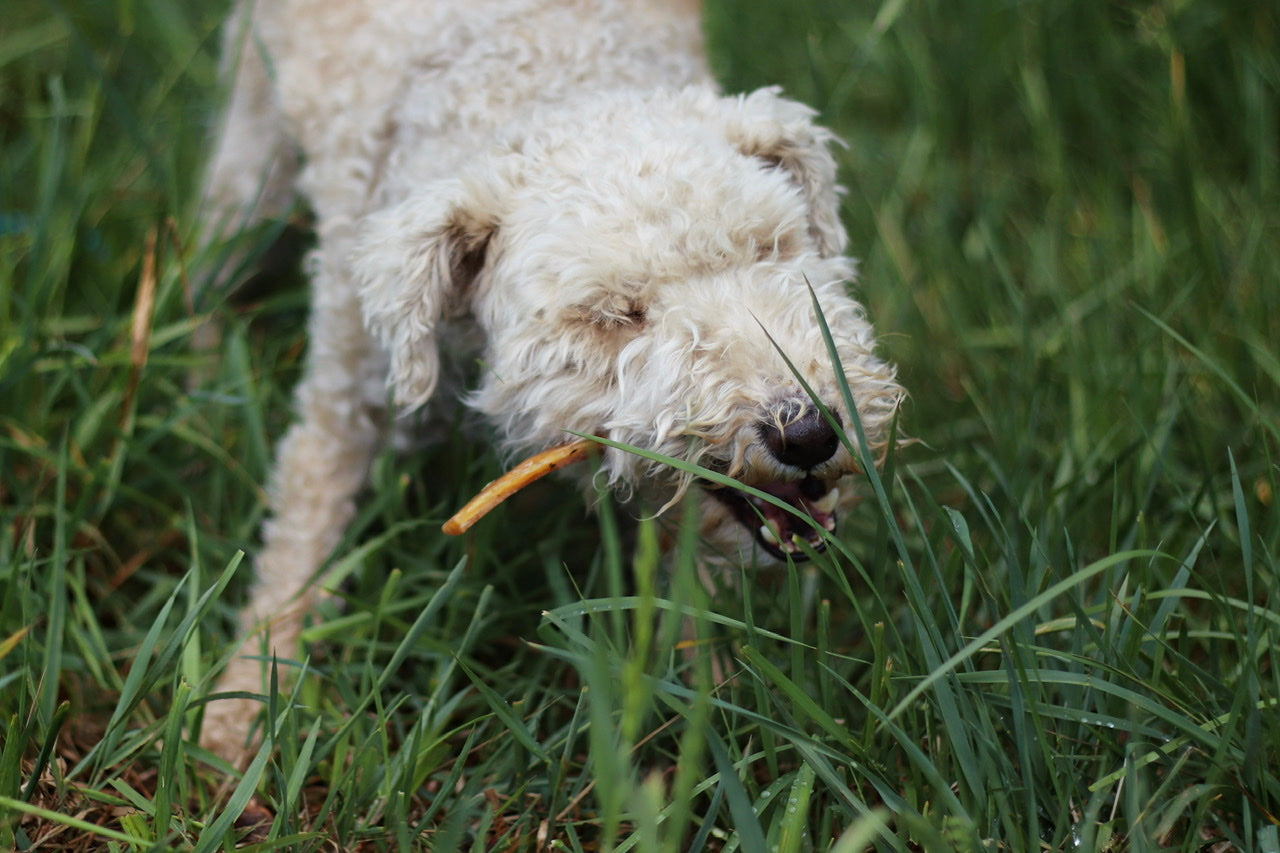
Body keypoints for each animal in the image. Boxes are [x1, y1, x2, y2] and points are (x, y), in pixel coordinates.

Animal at [197, 0, 901, 758]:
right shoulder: (344, 389)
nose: (807, 433)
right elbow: (298, 537)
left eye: (773, 249)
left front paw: (714, 716)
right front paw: (241, 710)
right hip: (250, 140)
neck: (545, 74)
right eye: (614, 313)